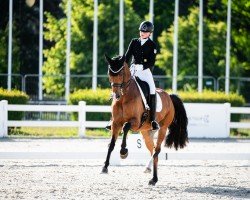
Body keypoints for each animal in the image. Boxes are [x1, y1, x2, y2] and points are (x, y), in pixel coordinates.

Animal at [101, 54, 188, 186]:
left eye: (120, 74)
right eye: (109, 74)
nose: (116, 95)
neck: (125, 97)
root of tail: (169, 96)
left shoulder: (136, 122)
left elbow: (126, 127)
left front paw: (123, 152)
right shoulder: (116, 123)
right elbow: (111, 144)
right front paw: (105, 167)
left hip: (163, 128)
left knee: (157, 150)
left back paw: (154, 179)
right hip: (146, 132)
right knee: (152, 150)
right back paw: (149, 170)